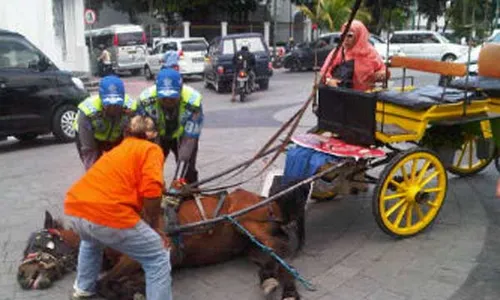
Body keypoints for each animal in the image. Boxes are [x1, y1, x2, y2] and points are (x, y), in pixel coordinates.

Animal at [18, 180, 308, 300]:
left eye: (36, 243)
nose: (21, 276)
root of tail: (266, 200)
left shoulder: (149, 254)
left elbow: (105, 283)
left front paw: (131, 291)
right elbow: (116, 281)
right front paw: (134, 288)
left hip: (249, 224)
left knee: (279, 250)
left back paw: (289, 292)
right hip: (249, 245)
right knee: (272, 256)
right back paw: (269, 279)